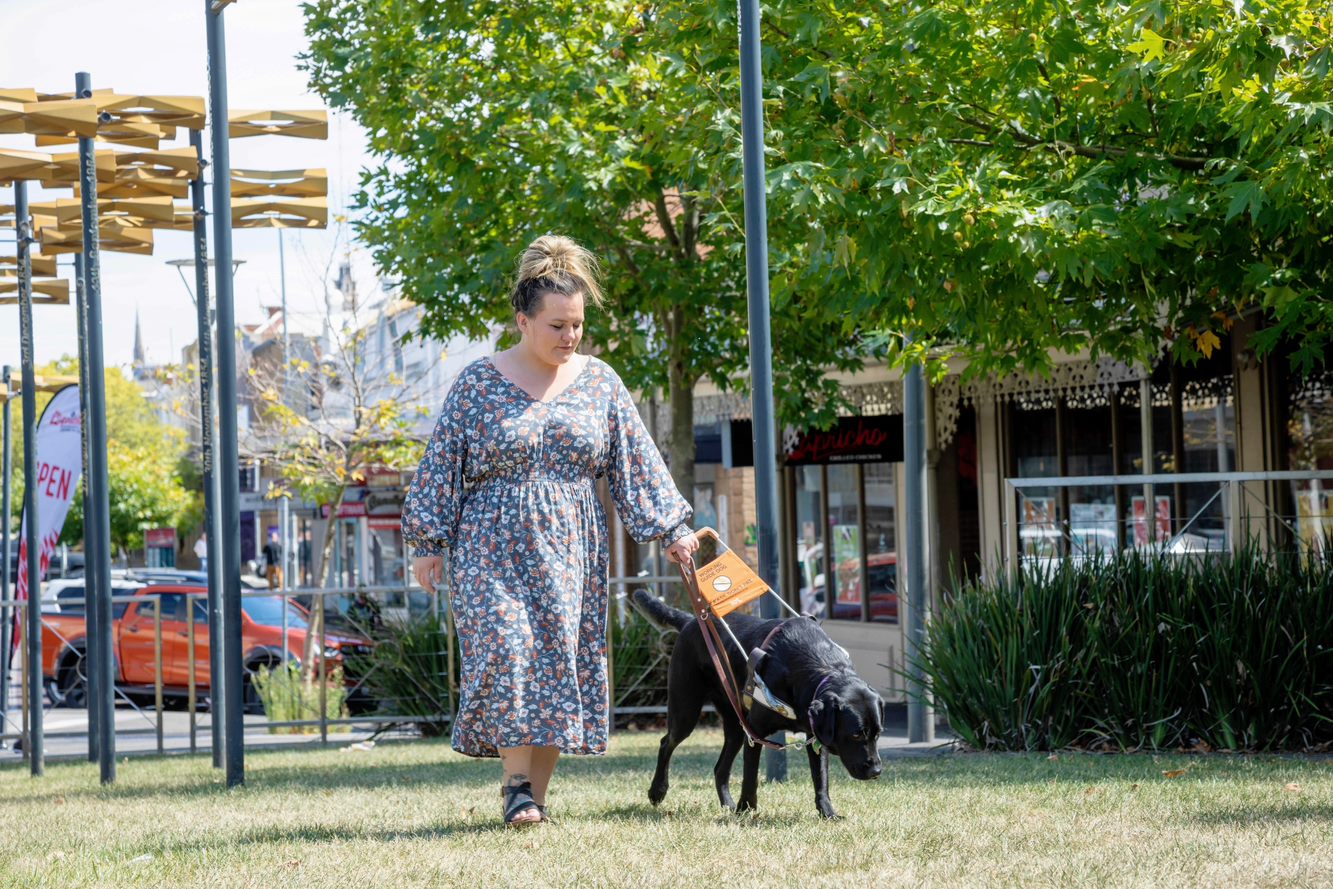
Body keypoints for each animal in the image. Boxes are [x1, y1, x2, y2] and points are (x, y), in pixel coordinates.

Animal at [634, 591, 885, 821]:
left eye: (878, 734)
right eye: (856, 734)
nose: (876, 772)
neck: (818, 667)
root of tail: (692, 620)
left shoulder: (816, 735)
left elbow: (821, 779)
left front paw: (828, 813)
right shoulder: (755, 731)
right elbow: (750, 776)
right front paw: (746, 810)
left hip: (735, 725)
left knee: (719, 769)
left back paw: (727, 805)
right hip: (686, 710)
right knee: (667, 742)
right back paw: (658, 790)